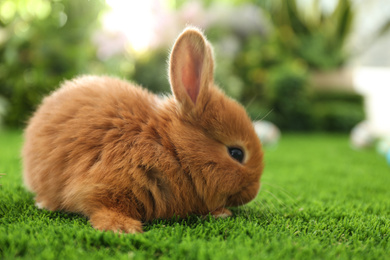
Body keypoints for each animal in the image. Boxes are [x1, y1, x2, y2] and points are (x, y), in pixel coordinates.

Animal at [22, 26, 264, 234]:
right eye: (236, 153)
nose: (253, 192)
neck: (169, 147)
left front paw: (221, 213)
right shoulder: (103, 185)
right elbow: (102, 206)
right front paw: (121, 228)